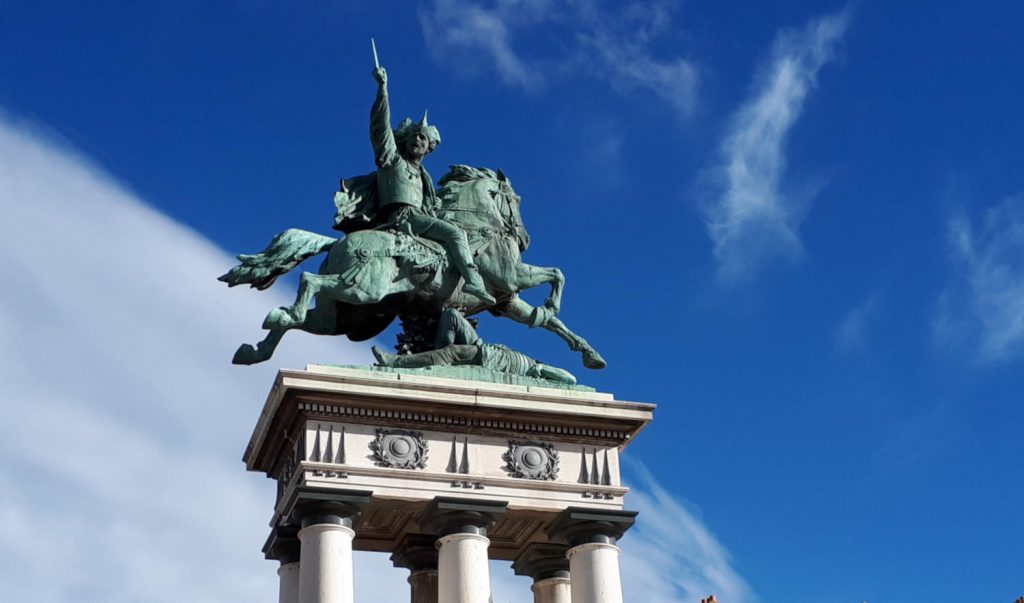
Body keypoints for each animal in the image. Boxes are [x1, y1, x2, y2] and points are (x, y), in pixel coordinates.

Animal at [222, 163, 606, 366]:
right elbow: (556, 274)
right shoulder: (513, 278)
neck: (478, 226)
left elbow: (550, 323)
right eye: (516, 200)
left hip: (342, 317)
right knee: (307, 279)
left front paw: (590, 354)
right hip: (362, 290)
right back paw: (283, 317)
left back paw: (257, 346)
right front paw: (552, 303)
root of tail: (339, 241)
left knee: (301, 318)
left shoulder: (508, 301)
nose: (524, 237)